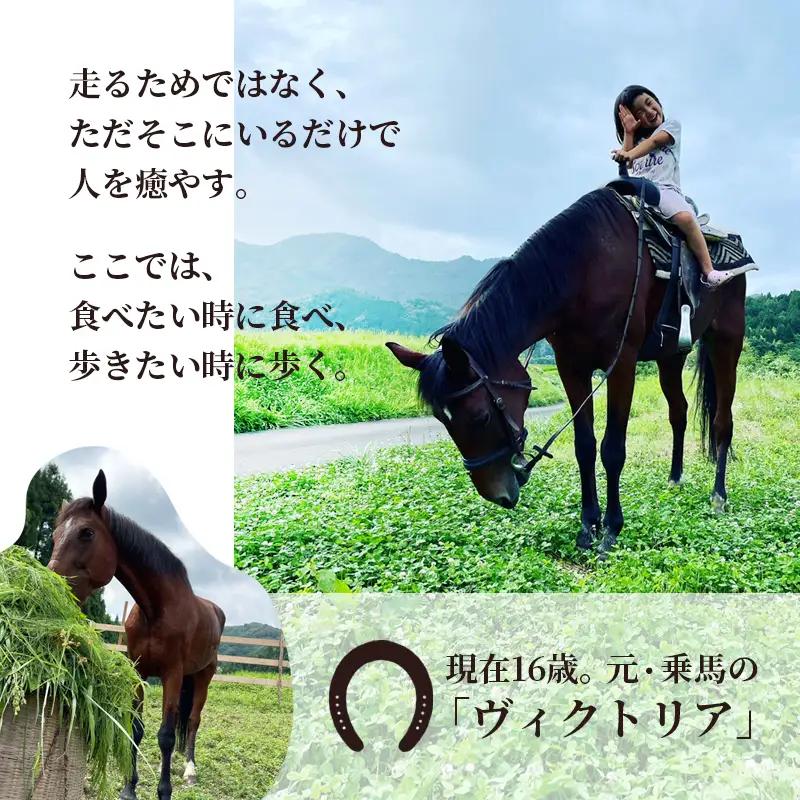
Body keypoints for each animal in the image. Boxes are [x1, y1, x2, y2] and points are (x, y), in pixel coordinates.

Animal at [48, 470, 225, 800]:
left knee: (193, 721)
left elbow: (166, 735)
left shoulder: (172, 674)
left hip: (203, 677)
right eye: (54, 536)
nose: (54, 584)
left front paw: (164, 790)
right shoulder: (138, 672)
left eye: (86, 533)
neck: (156, 610)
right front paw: (129, 787)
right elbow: (137, 729)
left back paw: (190, 770)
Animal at [387, 187, 746, 558]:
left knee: (722, 421)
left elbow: (612, 449)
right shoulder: (571, 366)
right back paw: (675, 478)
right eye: (442, 420)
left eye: (481, 417)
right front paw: (588, 525)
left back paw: (718, 496)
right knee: (679, 411)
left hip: (727, 340)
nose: (497, 495)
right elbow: (584, 446)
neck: (583, 270)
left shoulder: (622, 363)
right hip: (671, 356)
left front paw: (611, 530)